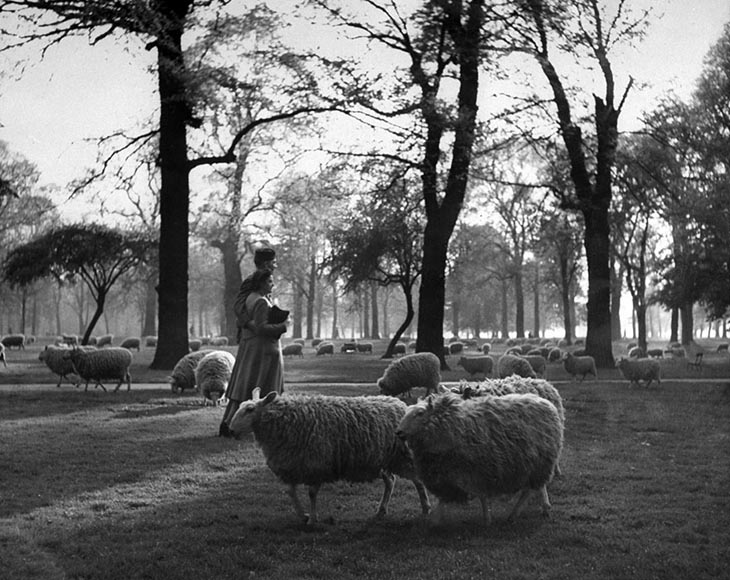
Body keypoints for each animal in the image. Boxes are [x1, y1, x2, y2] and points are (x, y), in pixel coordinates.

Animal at [229, 390, 432, 524]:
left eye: (249, 409)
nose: (230, 429)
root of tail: (400, 404)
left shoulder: (316, 464)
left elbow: (311, 493)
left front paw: (312, 519)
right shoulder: (293, 465)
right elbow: (291, 492)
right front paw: (303, 515)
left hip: (402, 456)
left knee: (417, 481)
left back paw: (425, 508)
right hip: (382, 459)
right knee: (390, 481)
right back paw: (381, 511)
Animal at [396, 390, 560, 524]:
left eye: (420, 413)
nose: (398, 432)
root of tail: (546, 403)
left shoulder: (478, 471)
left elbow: (482, 497)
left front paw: (487, 520)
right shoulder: (446, 477)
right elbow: (442, 501)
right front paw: (434, 520)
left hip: (539, 463)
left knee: (529, 491)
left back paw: (514, 515)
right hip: (534, 463)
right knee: (538, 487)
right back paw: (543, 508)